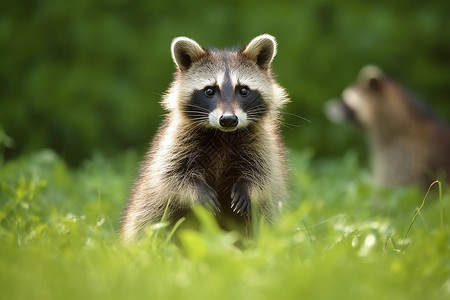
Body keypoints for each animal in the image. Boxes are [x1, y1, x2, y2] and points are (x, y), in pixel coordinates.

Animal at [118, 34, 288, 243]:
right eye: (209, 91)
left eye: (243, 90)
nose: (228, 120)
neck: (224, 134)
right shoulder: (177, 140)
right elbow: (171, 175)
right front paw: (198, 191)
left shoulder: (262, 141)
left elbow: (264, 174)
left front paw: (247, 187)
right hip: (147, 202)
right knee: (150, 217)